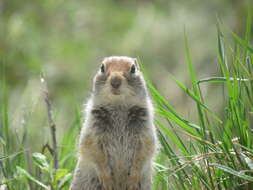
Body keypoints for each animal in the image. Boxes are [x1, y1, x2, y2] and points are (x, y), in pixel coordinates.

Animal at [70, 55, 157, 189]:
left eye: (133, 69)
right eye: (102, 67)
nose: (115, 81)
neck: (118, 105)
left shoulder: (144, 128)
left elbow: (145, 150)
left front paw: (132, 180)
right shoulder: (93, 128)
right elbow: (93, 149)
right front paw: (107, 181)